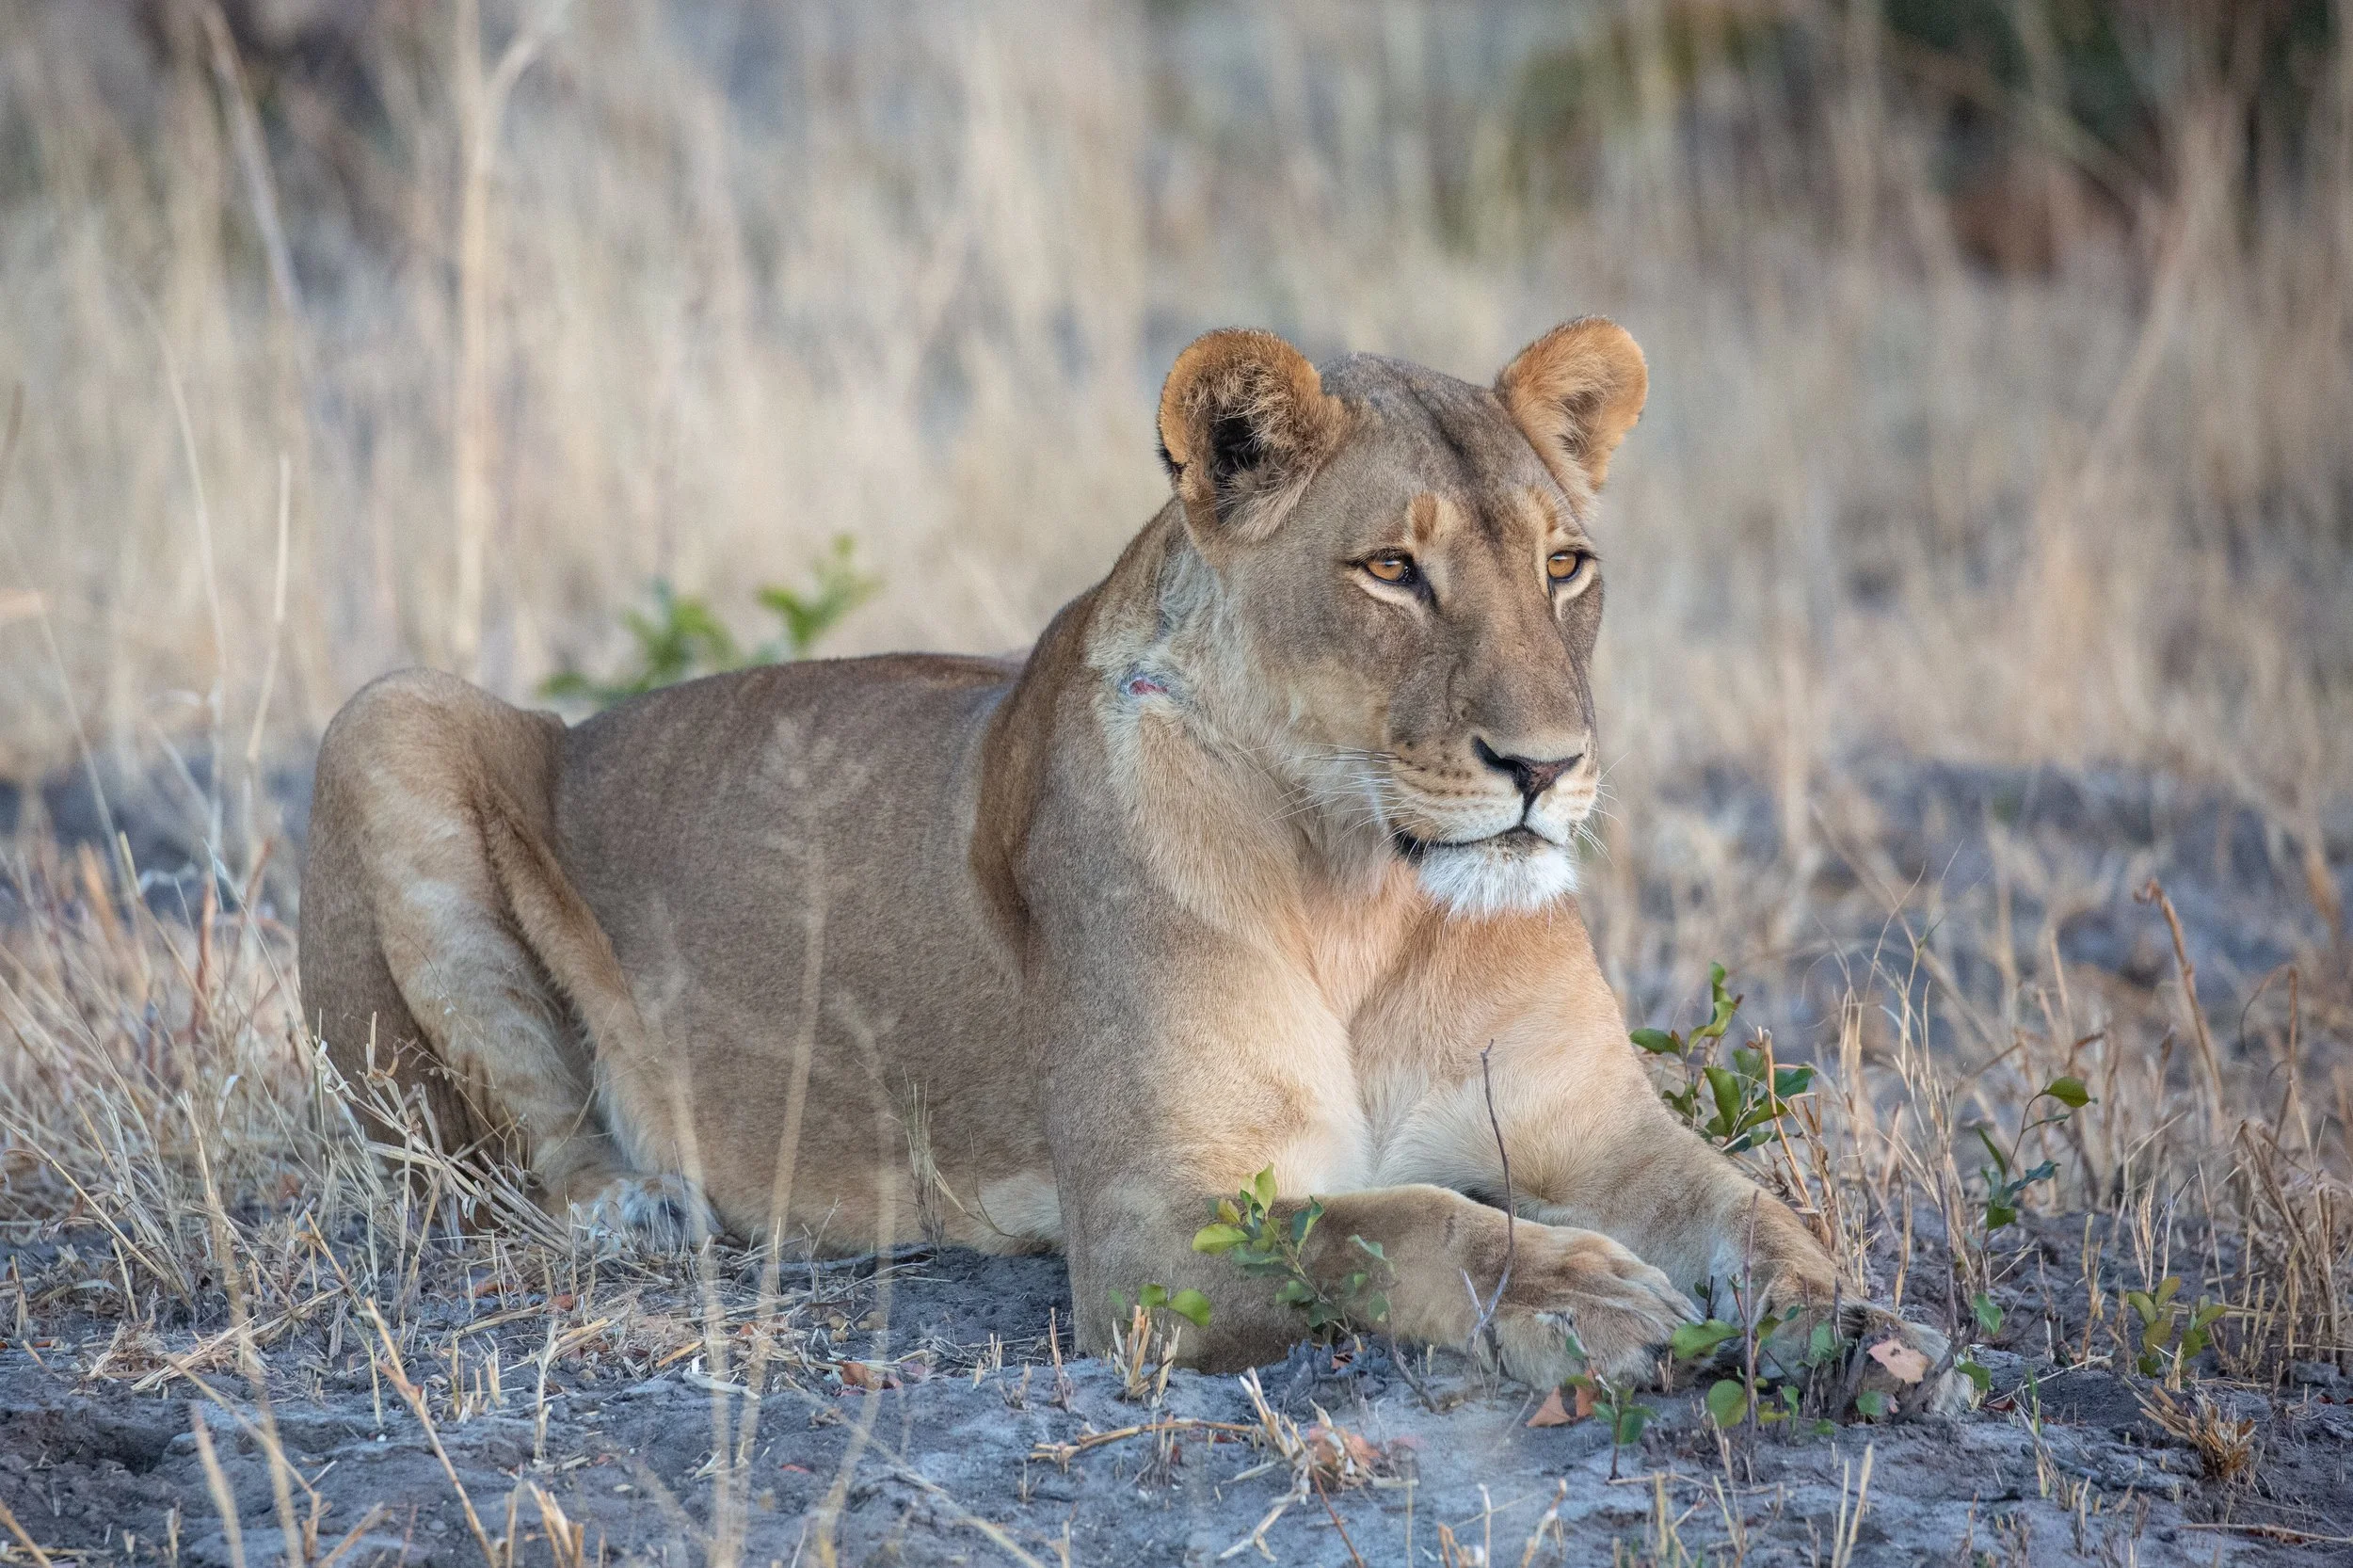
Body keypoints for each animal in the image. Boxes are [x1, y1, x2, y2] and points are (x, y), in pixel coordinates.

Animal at [299, 320, 1962, 1413]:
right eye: (1391, 570)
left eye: (1565, 564)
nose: (1546, 768)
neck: (1374, 901)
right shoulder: (1155, 1230)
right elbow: (1388, 1223)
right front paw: (1583, 1293)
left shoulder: (1597, 1125)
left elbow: (1757, 1207)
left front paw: (1856, 1326)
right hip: (389, 714)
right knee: (505, 1154)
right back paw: (641, 1208)